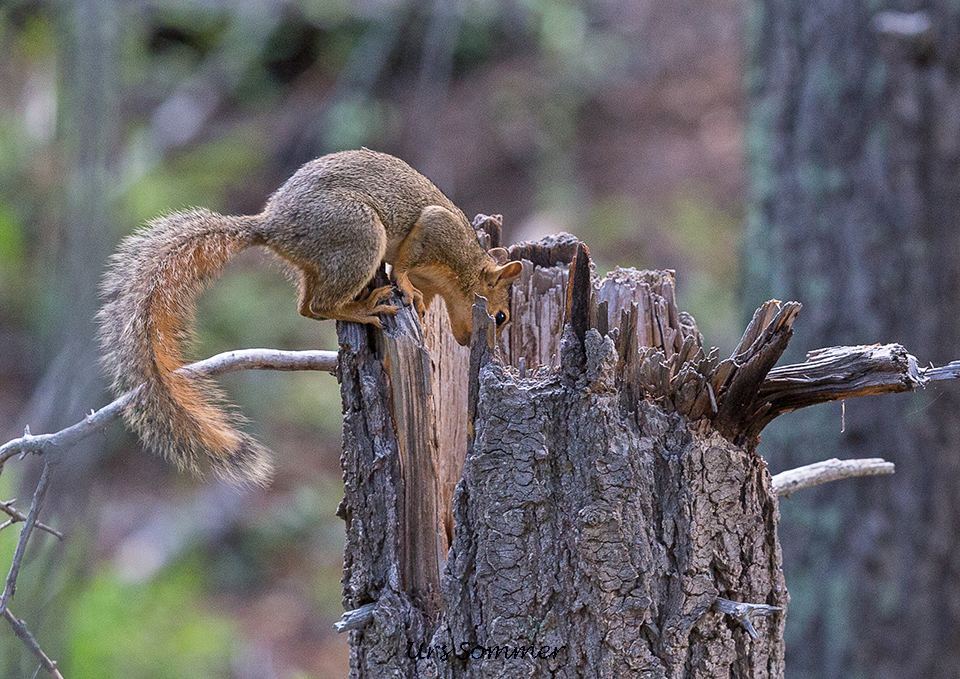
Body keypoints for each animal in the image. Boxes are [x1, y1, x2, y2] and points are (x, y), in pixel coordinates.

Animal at [97, 151, 524, 486]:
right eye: (501, 315)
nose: (468, 341)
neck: (463, 268)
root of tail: (272, 228)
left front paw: (418, 304)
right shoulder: (436, 230)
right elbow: (405, 262)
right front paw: (403, 284)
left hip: (322, 261)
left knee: (306, 306)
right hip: (359, 237)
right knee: (318, 305)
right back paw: (365, 308)